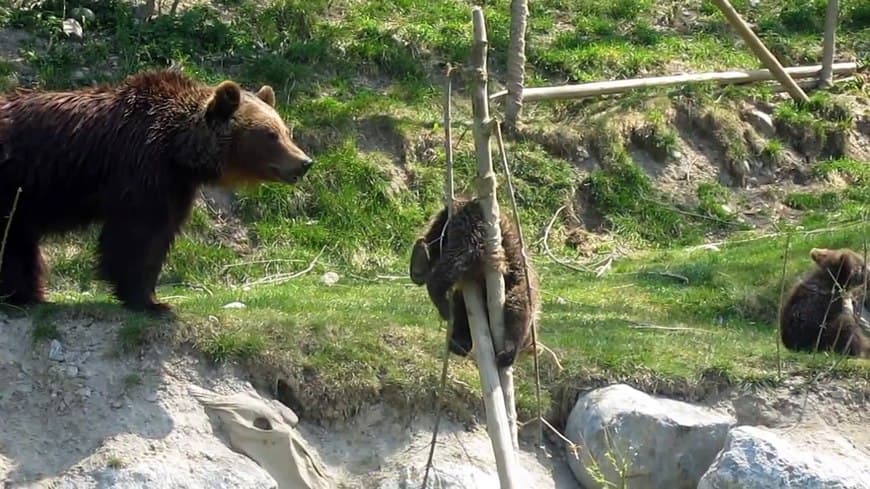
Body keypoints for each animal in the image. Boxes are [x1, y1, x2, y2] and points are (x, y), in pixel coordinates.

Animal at [0, 68, 314, 312]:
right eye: (270, 134)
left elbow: (160, 234)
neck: (177, 150)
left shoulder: (175, 185)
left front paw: (153, 296)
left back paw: (27, 293)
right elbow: (137, 235)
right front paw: (147, 300)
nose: (304, 162)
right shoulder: (140, 168)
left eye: (285, 130)